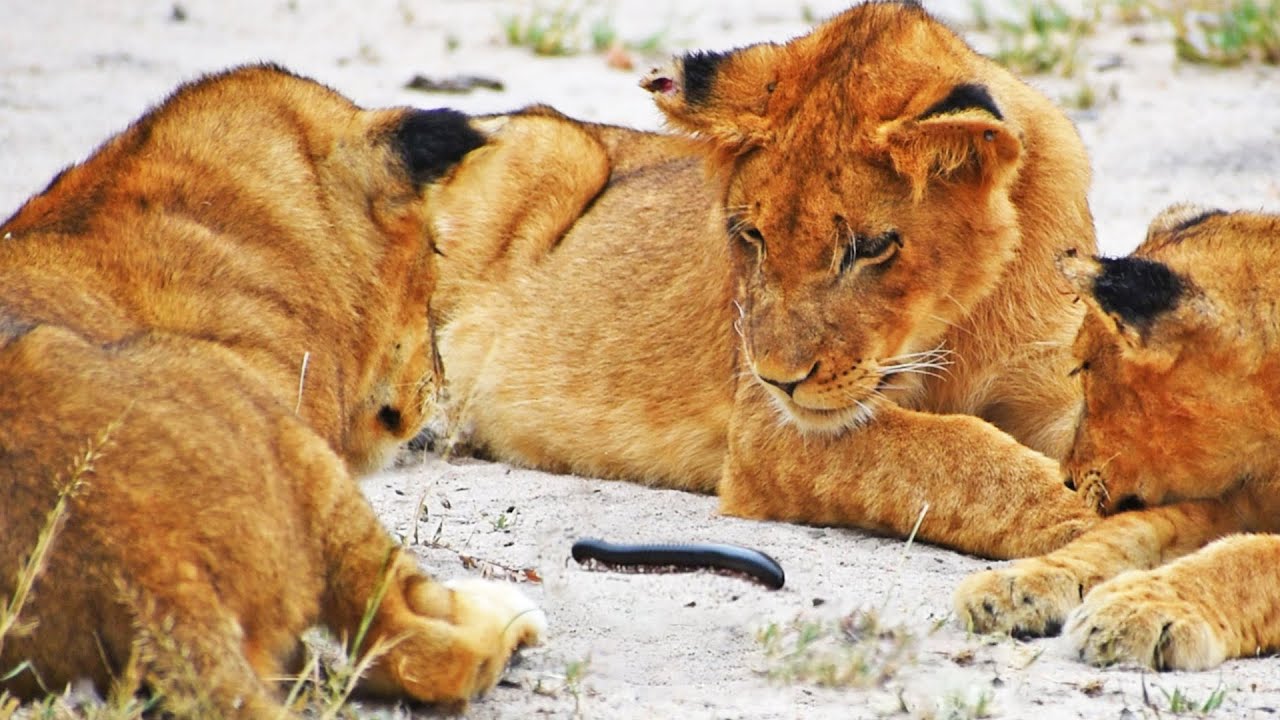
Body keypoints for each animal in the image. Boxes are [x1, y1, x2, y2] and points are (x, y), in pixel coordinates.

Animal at [0, 64, 543, 716]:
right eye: (436, 250)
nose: (440, 376)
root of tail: (144, 568)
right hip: (293, 444)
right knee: (417, 647)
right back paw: (512, 619)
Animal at [426, 1, 1098, 559]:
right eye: (752, 236)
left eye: (869, 249)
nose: (780, 380)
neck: (961, 313)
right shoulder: (765, 431)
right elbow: (954, 454)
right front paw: (1086, 524)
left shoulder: (1053, 382)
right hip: (554, 146)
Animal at [956, 206, 1280, 671]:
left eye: (1085, 368)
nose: (1067, 478)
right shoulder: (1236, 500)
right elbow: (1125, 534)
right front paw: (1016, 585)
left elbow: (1246, 559)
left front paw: (1141, 610)